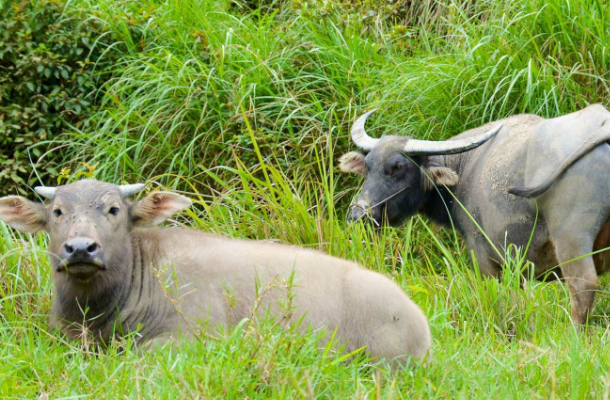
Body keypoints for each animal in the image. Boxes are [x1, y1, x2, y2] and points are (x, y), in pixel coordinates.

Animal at [340, 104, 610, 324]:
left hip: (571, 239)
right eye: (368, 166)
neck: (465, 168)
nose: (358, 214)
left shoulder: (484, 257)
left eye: (397, 167)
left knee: (583, 284)